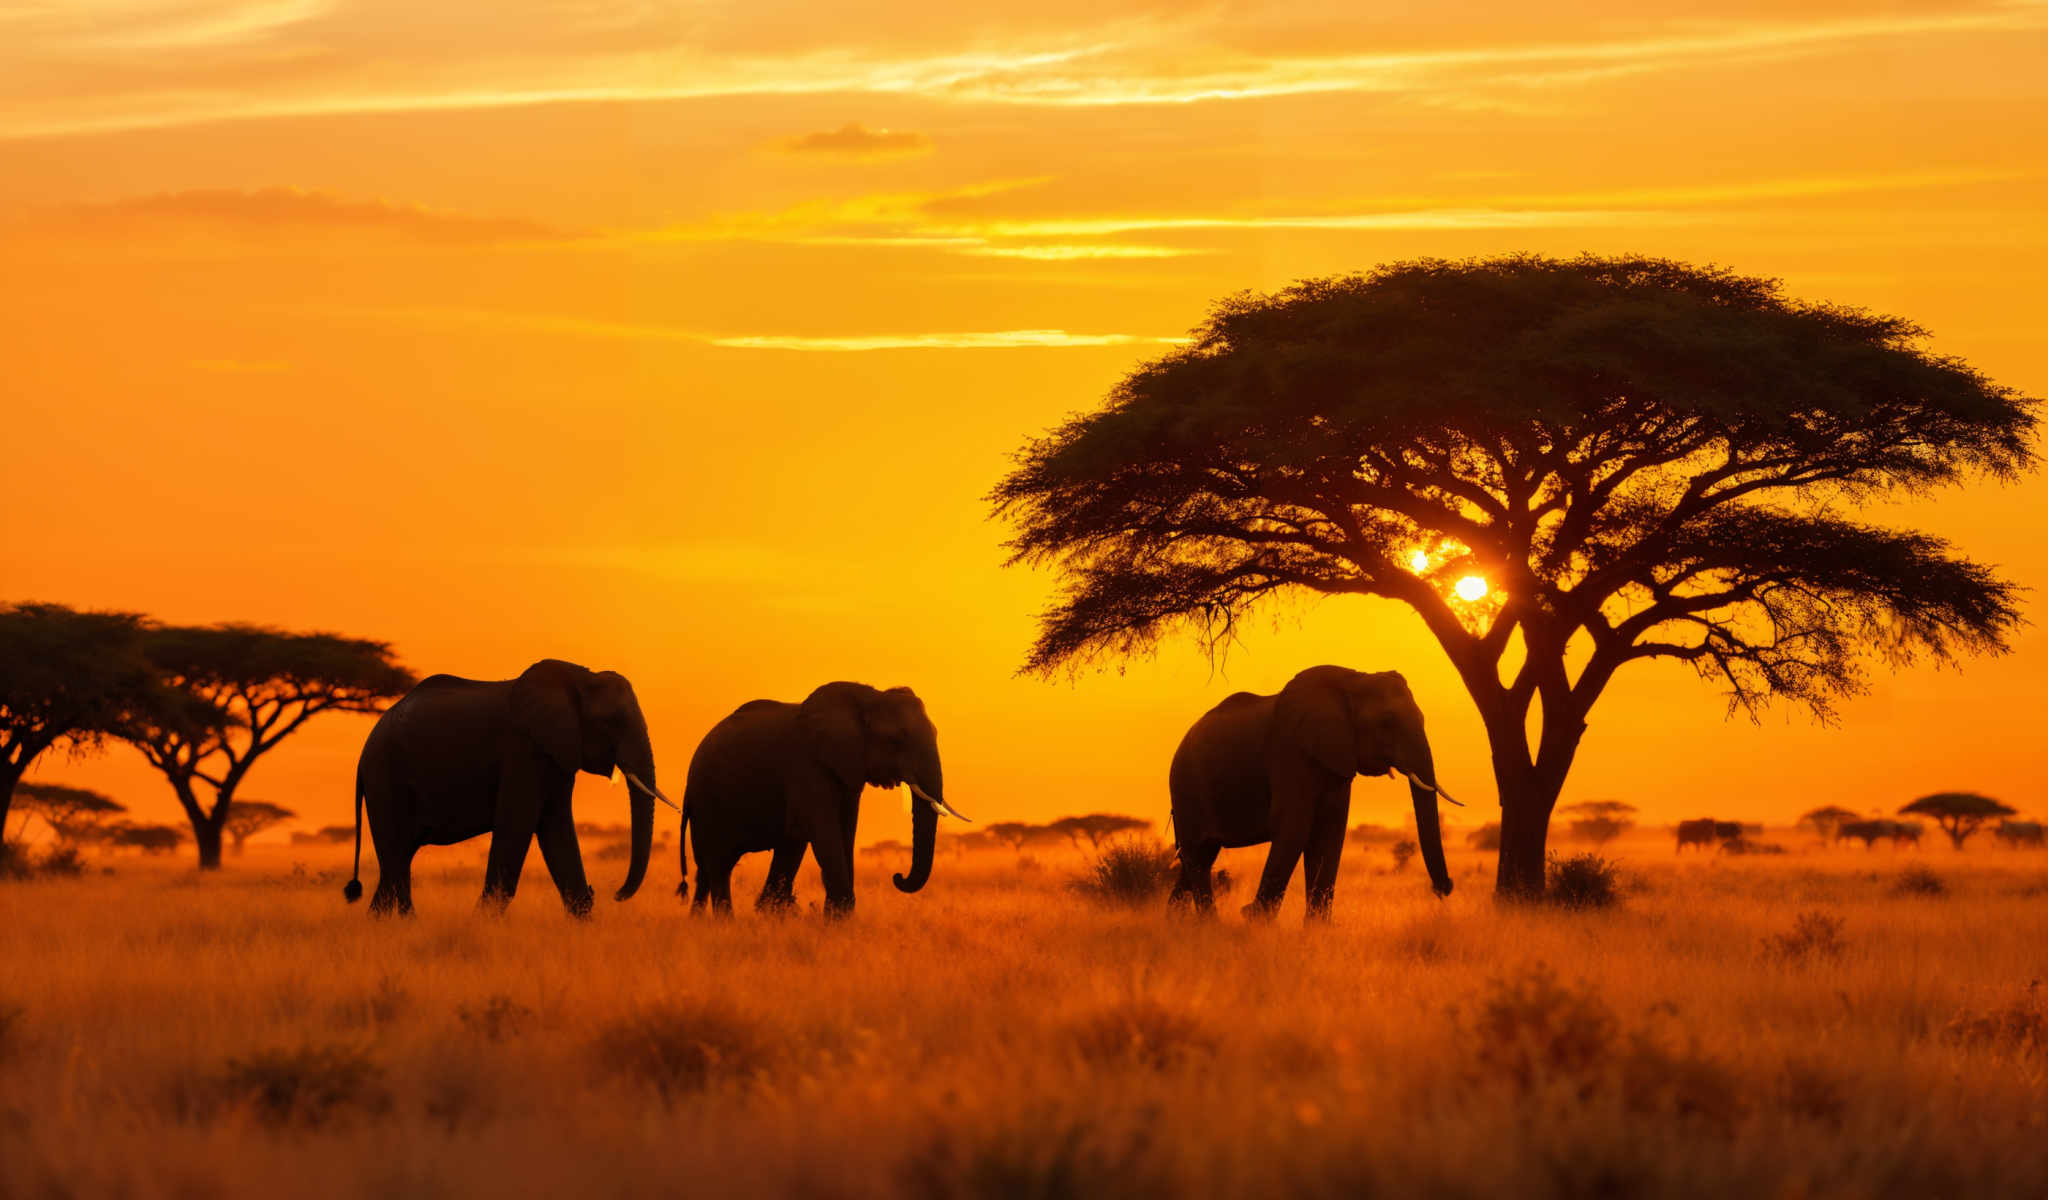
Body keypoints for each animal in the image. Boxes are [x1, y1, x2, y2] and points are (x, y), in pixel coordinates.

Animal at [348, 659, 667, 909]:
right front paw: (483, 924)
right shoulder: (524, 747)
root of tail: (364, 752)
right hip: (385, 777)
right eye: (612, 721)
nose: (616, 894)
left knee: (397, 860)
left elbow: (556, 827)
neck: (580, 677)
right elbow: (518, 822)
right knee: (395, 860)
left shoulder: (555, 752)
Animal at [671, 683, 958, 917]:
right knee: (719, 863)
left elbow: (844, 830)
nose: (897, 876)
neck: (868, 698)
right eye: (896, 739)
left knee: (718, 865)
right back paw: (726, 923)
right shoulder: (806, 765)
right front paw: (838, 919)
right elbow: (824, 831)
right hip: (707, 801)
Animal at [1171, 663, 1458, 917]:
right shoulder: (1290, 752)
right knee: (1196, 856)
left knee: (1198, 857)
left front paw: (1316, 930)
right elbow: (1294, 828)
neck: (1355, 680)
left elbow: (1330, 833)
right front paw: (1254, 919)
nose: (1444, 889)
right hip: (1186, 786)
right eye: (1387, 722)